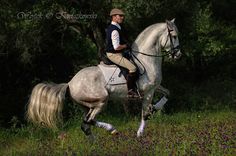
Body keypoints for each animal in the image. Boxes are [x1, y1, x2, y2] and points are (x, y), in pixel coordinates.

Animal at [26, 18, 181, 138]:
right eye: (174, 36)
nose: (178, 55)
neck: (146, 59)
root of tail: (70, 83)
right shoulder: (149, 91)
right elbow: (145, 114)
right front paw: (140, 134)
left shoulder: (155, 86)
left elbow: (168, 93)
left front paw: (155, 107)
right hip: (101, 100)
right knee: (88, 121)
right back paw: (112, 130)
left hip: (87, 105)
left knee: (86, 124)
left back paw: (96, 144)